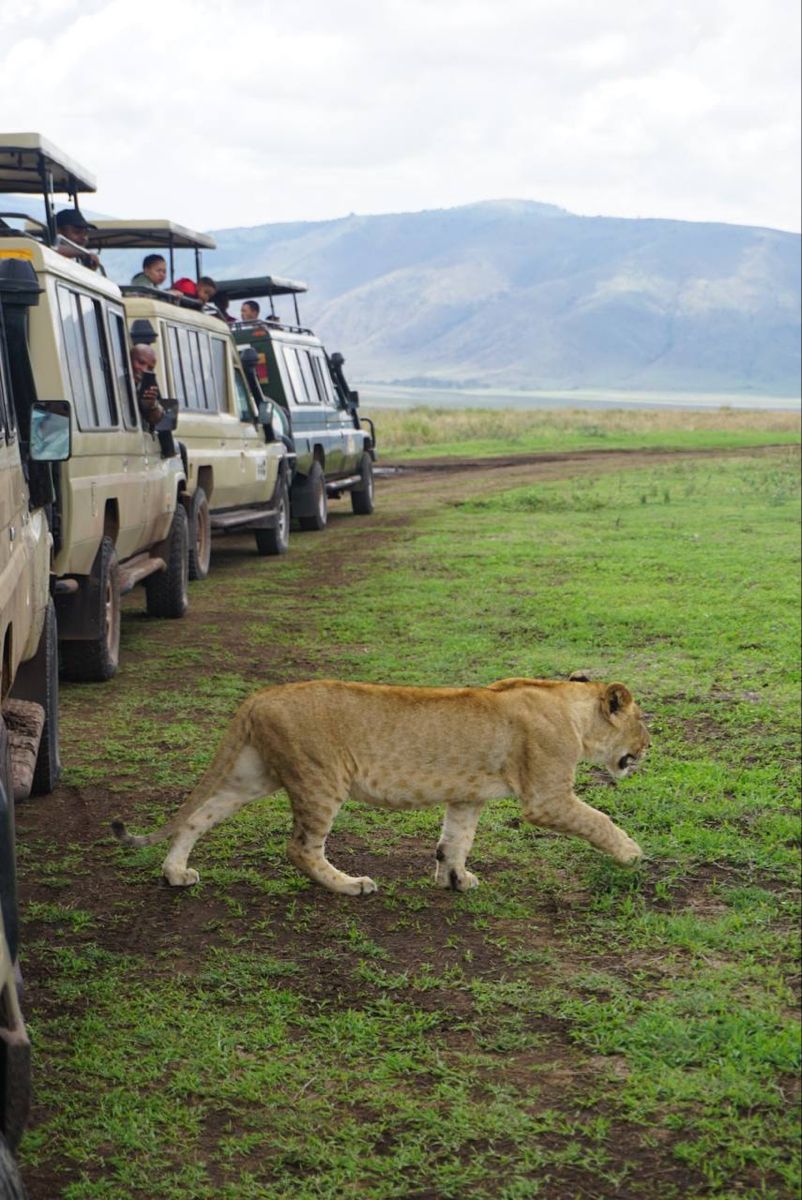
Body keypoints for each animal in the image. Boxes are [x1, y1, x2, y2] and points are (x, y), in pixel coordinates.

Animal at [112, 675, 649, 894]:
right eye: (642, 721)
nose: (648, 748)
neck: (569, 709)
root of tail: (261, 696)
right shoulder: (546, 797)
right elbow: (599, 820)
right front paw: (632, 855)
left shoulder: (467, 796)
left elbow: (455, 841)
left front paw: (456, 879)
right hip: (323, 778)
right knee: (300, 847)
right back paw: (350, 885)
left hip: (252, 776)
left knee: (197, 817)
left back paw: (175, 874)